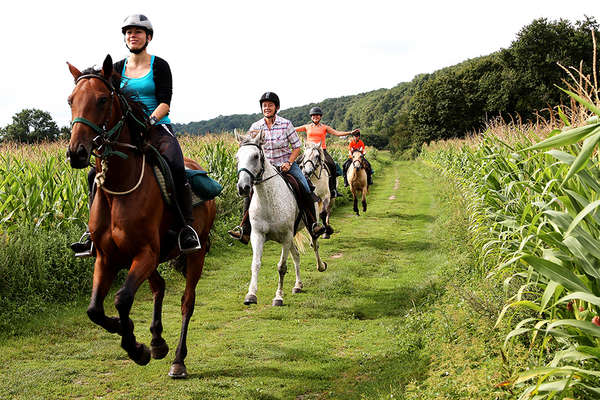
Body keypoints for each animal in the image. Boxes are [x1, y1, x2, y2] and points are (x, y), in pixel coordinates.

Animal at [66, 55, 216, 378]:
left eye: (101, 100)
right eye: (71, 100)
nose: (76, 153)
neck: (119, 187)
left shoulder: (145, 253)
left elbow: (122, 299)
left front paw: (136, 348)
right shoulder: (107, 257)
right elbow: (95, 310)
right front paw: (131, 334)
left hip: (193, 254)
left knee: (187, 302)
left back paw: (177, 359)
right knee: (159, 287)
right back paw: (158, 341)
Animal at [236, 131, 328, 306]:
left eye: (256, 156)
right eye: (237, 157)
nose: (243, 187)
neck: (268, 200)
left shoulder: (285, 237)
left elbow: (282, 267)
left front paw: (278, 297)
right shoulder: (257, 235)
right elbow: (256, 264)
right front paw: (251, 295)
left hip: (308, 226)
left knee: (315, 244)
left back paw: (321, 266)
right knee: (296, 255)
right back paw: (298, 285)